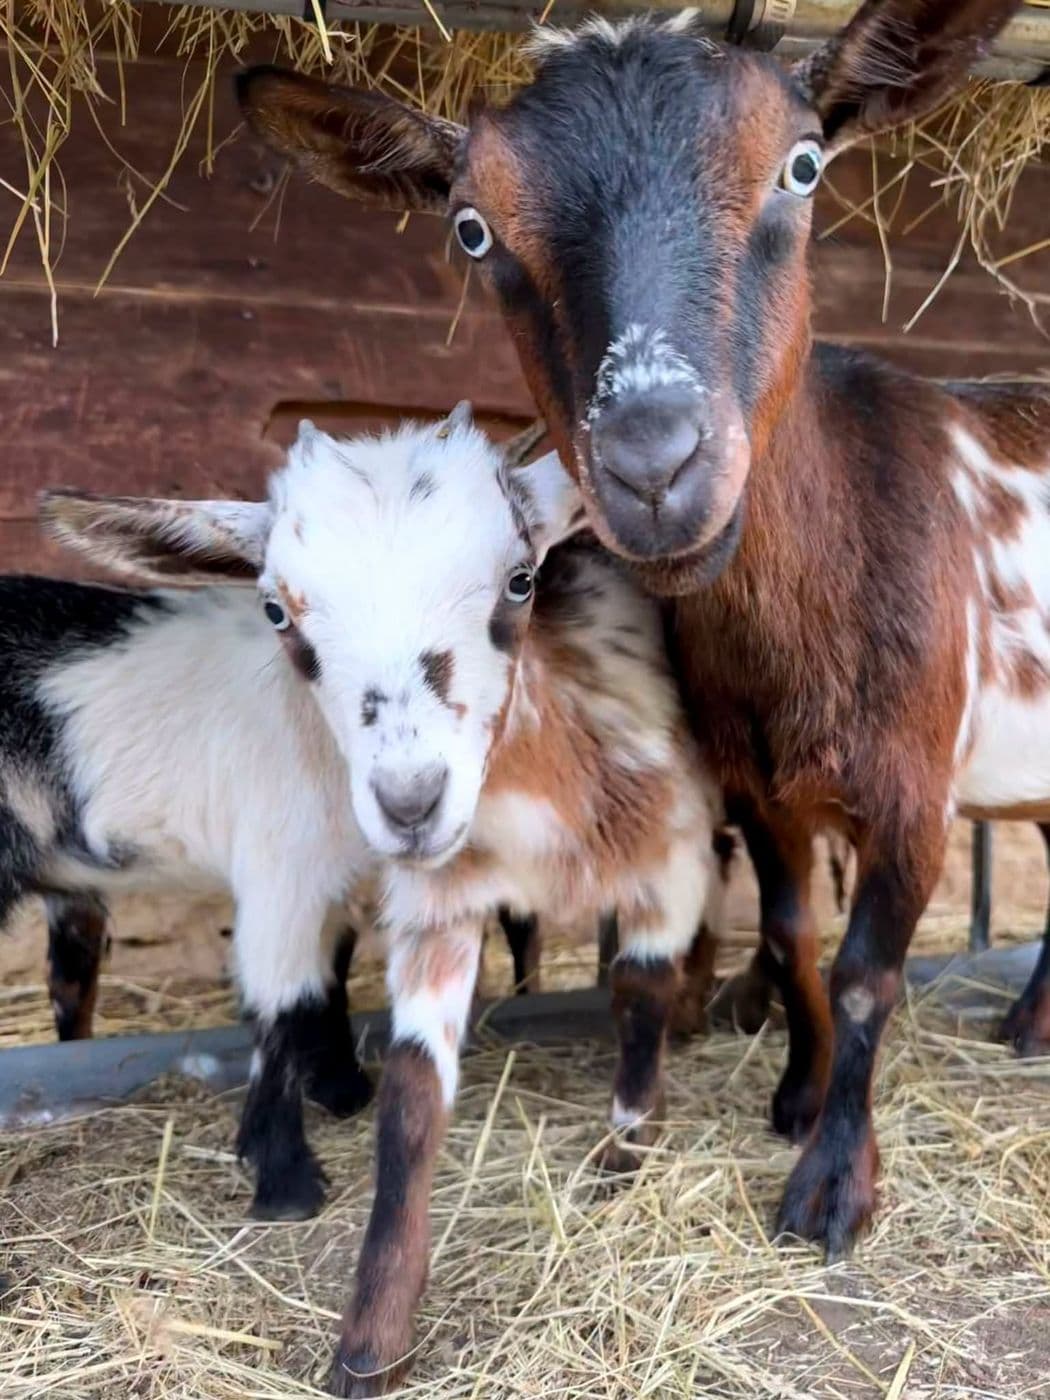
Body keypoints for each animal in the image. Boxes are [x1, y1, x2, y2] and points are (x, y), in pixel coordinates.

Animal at [47, 406, 723, 1396]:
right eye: (276, 611)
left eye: (520, 579)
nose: (410, 801)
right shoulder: (438, 905)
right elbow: (409, 1106)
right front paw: (371, 1338)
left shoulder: (668, 860)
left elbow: (640, 995)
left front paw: (625, 1150)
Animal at [235, 0, 1049, 1260]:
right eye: (472, 226)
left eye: (803, 164)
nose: (654, 464)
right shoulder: (761, 789)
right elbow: (793, 937)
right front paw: (798, 1095)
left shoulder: (917, 785)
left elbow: (868, 973)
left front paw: (831, 1187)